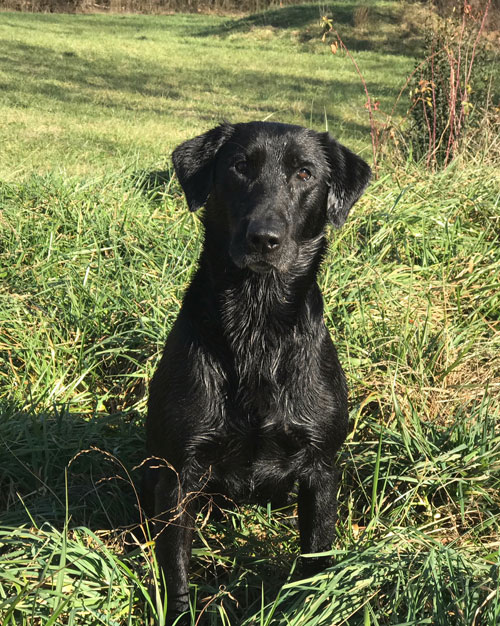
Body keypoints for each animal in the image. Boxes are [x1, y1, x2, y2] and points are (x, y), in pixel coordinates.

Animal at [145, 122, 372, 620]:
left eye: (305, 173)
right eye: (239, 167)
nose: (264, 238)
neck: (257, 322)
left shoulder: (320, 471)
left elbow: (316, 557)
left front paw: (307, 607)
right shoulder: (178, 475)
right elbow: (176, 568)